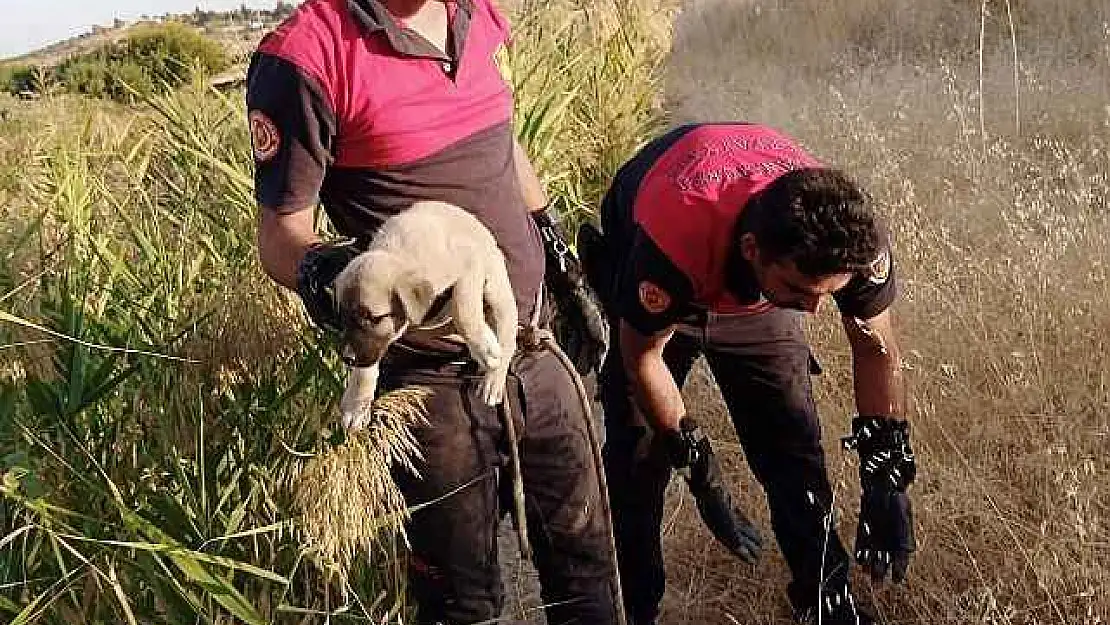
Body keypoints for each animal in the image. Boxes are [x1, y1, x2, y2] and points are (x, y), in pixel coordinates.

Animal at [330, 200, 517, 430]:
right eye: (343, 318)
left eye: (373, 318)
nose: (347, 358)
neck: (400, 254)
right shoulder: (371, 347)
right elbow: (367, 364)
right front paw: (356, 403)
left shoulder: (468, 264)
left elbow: (463, 308)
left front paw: (485, 350)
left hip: (496, 288)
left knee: (507, 334)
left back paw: (493, 380)